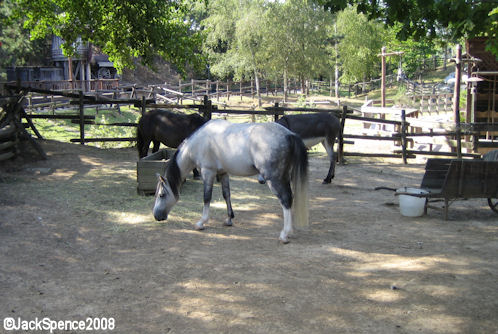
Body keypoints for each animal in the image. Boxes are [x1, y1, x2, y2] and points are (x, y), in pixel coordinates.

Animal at [153, 120, 308, 243]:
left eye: (162, 195)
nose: (156, 216)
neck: (199, 142)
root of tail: (289, 135)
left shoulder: (208, 172)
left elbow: (206, 197)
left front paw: (201, 223)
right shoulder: (223, 173)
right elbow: (226, 194)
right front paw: (229, 219)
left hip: (274, 179)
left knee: (285, 200)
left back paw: (284, 234)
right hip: (284, 177)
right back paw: (290, 232)